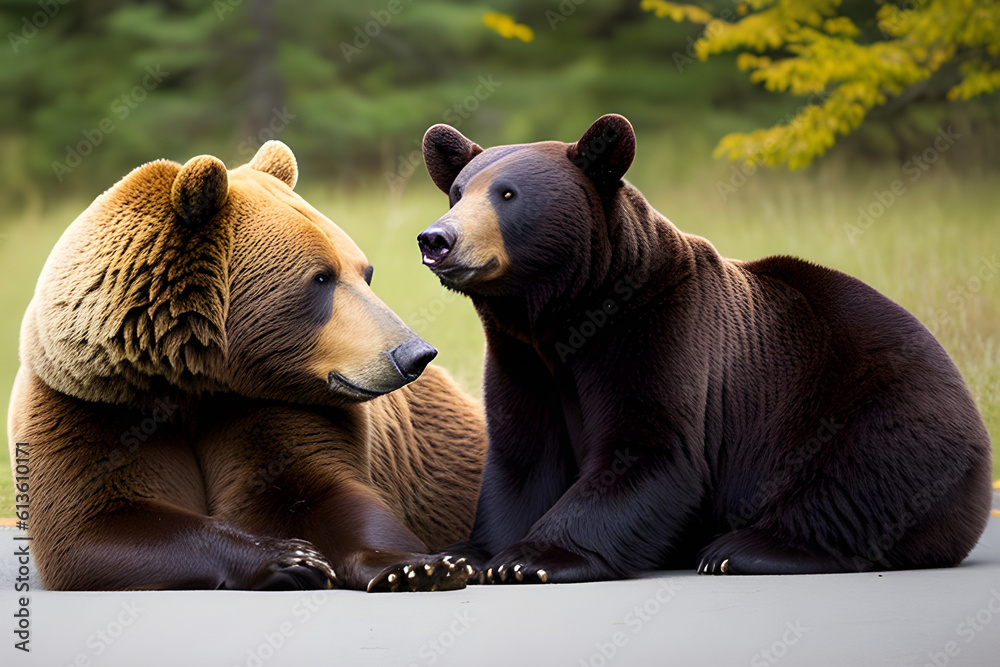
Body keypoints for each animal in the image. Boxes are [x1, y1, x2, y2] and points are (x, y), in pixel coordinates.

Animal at [8, 140, 486, 592]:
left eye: (365, 273)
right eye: (321, 277)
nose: (414, 353)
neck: (195, 376)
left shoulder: (275, 406)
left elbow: (317, 493)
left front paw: (414, 567)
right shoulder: (92, 401)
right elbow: (96, 521)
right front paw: (290, 559)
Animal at [414, 113, 994, 583]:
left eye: (507, 194)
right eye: (458, 192)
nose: (436, 240)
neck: (566, 316)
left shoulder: (662, 332)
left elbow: (651, 451)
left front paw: (533, 556)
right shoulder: (521, 360)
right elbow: (523, 455)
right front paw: (463, 554)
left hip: (874, 402)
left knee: (856, 481)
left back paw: (743, 549)